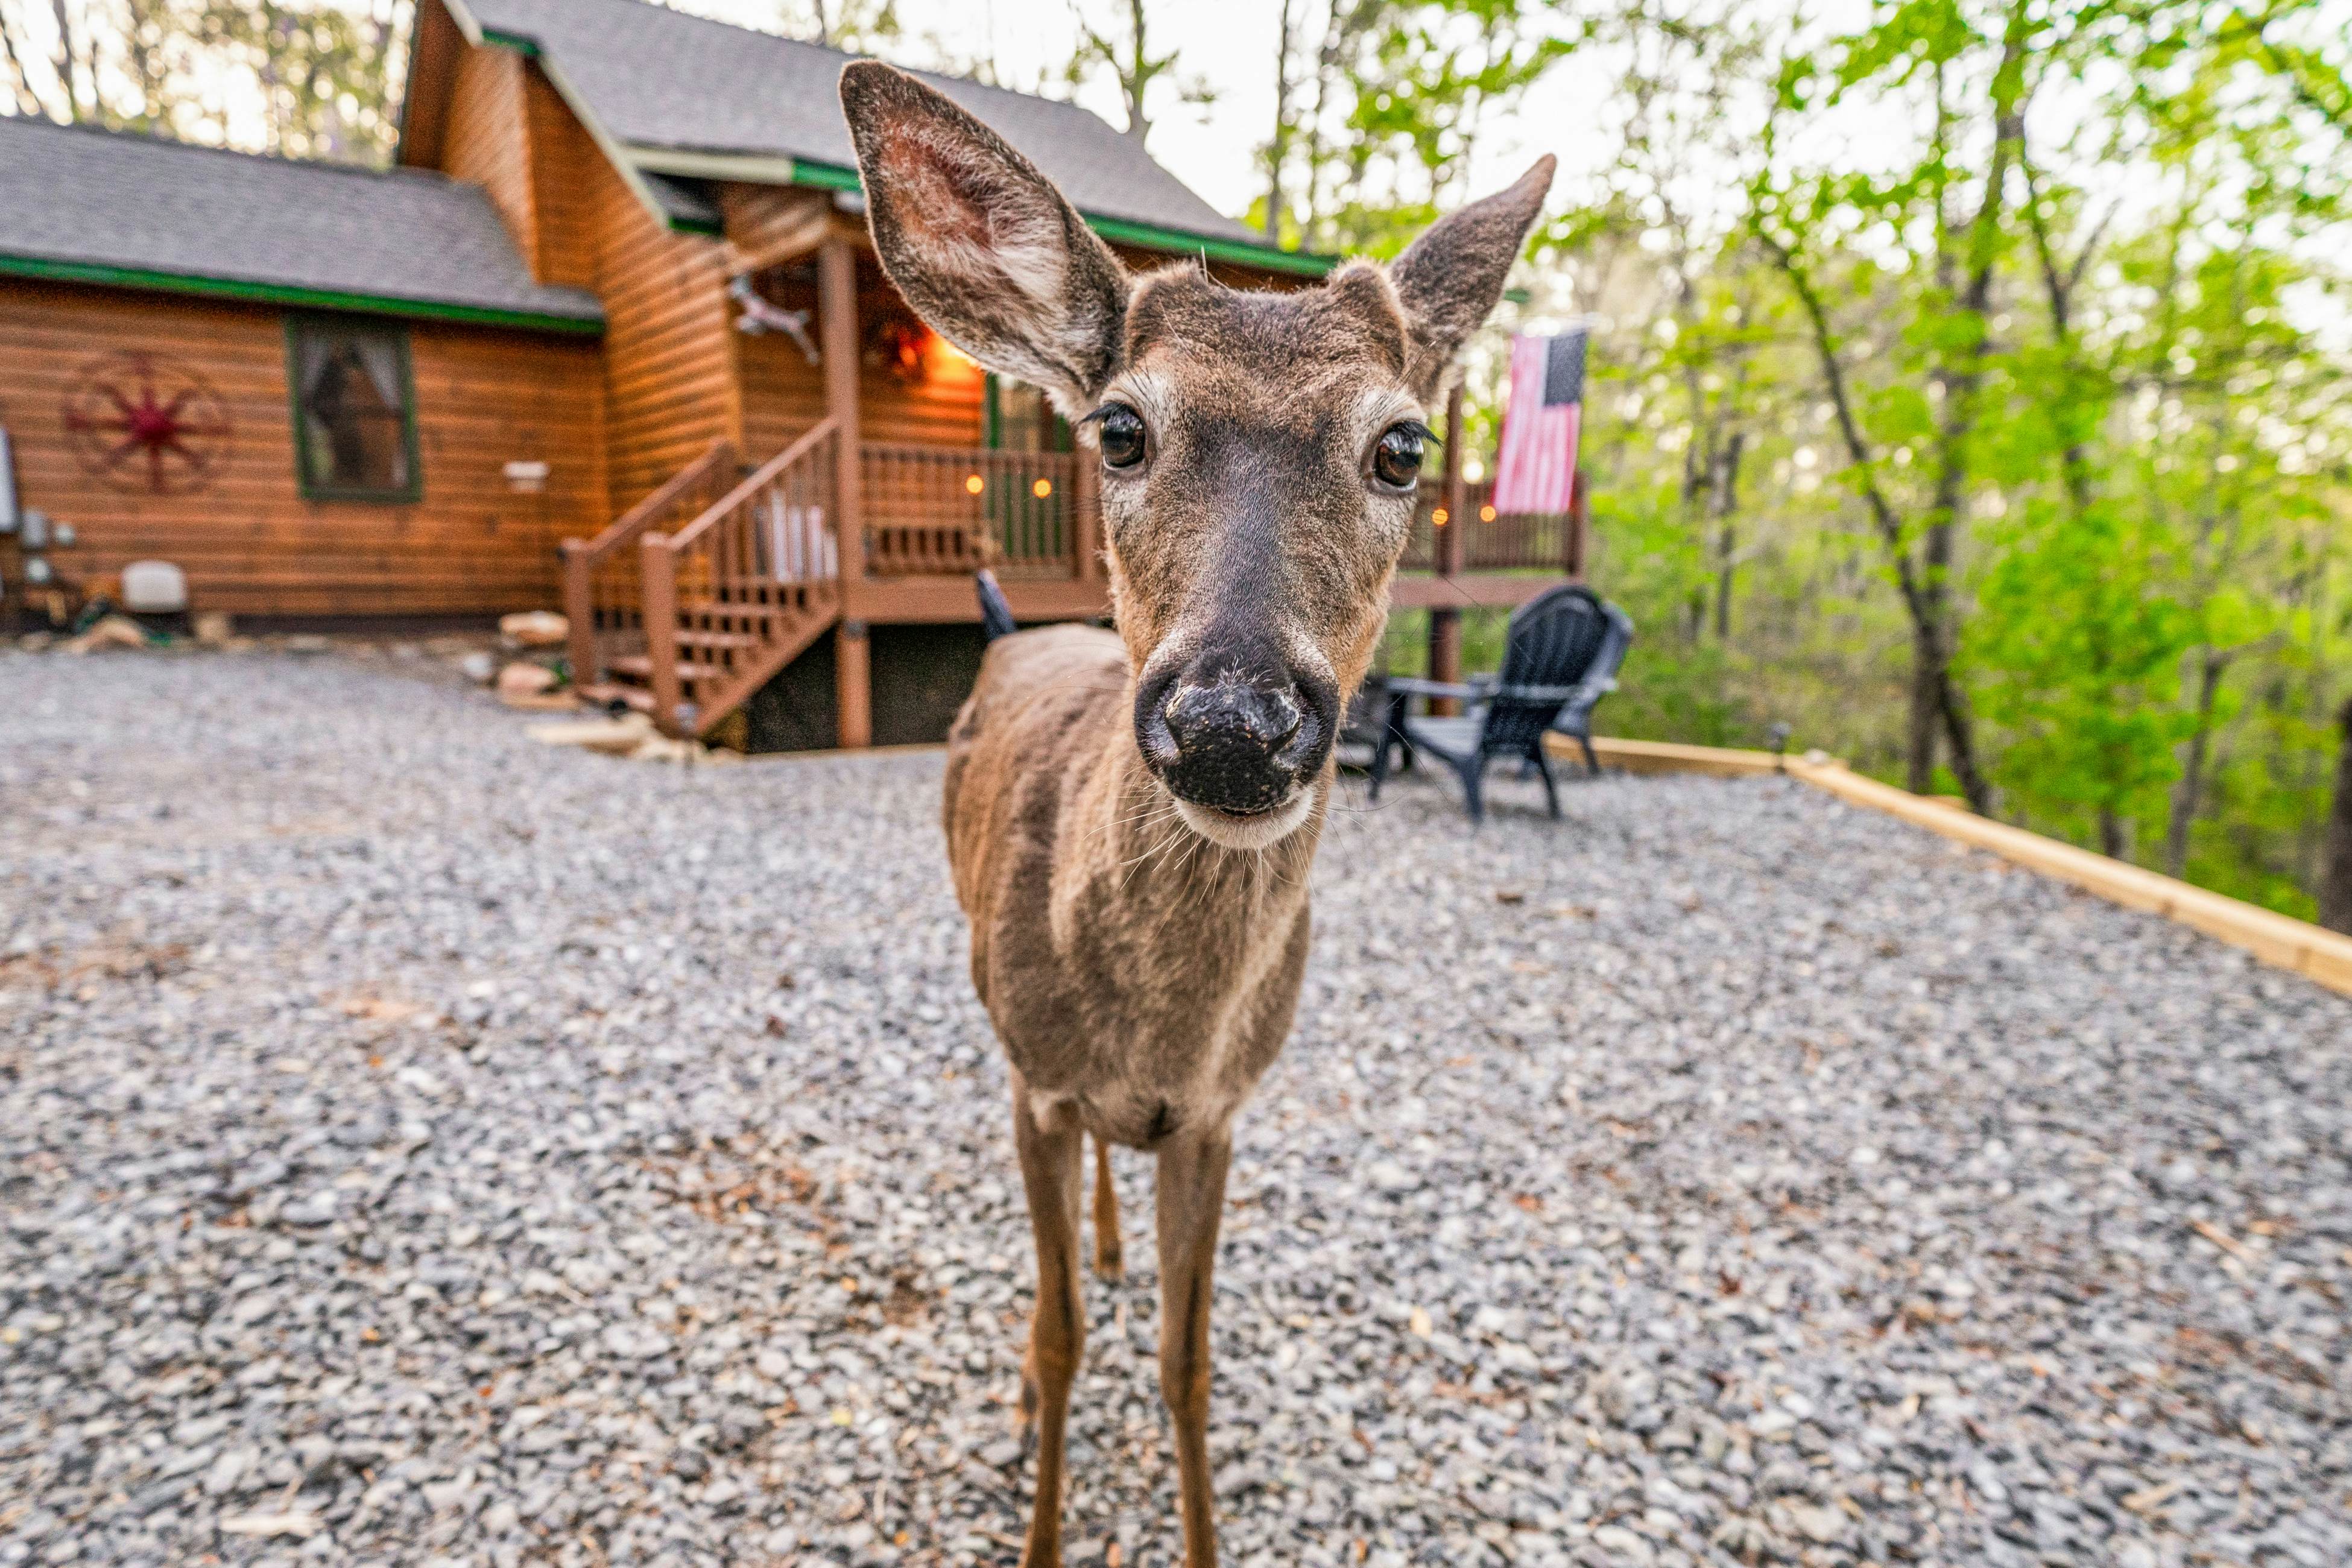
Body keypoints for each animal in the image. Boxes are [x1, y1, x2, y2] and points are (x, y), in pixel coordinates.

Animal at [839, 61, 1554, 1568]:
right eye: (1119, 429)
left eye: (1403, 445)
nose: (1233, 718)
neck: (1158, 1026)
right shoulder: (1038, 1083)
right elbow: (1061, 1340)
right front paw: (1039, 1517)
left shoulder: (1226, 1111)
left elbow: (1185, 1357)